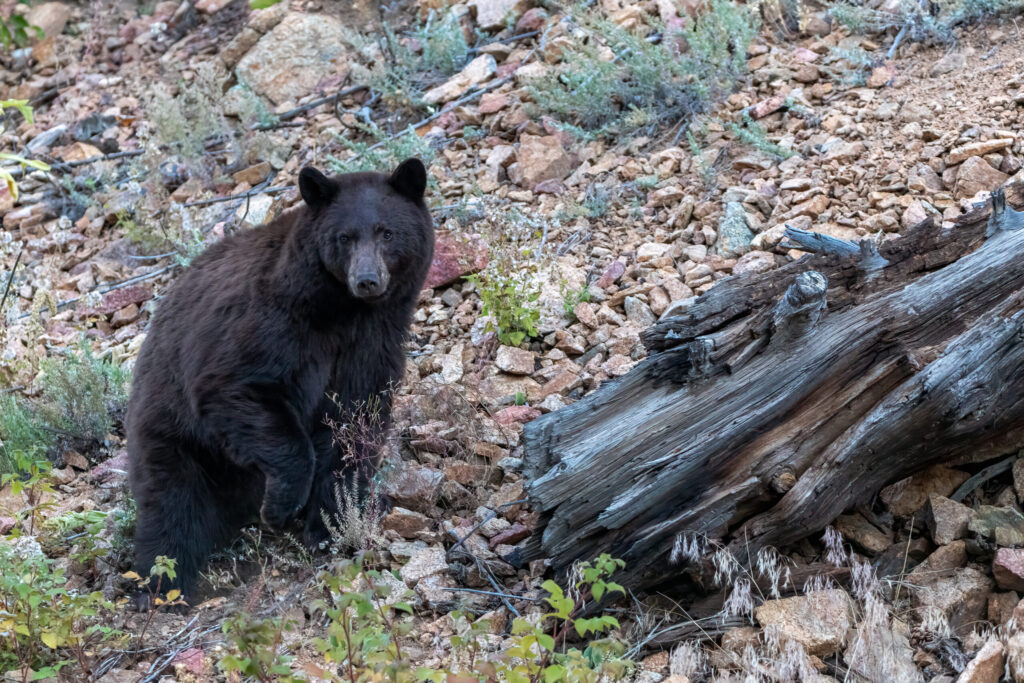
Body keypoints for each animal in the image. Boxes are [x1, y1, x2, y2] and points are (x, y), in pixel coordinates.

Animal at [125, 159, 433, 606]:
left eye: (387, 232)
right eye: (344, 237)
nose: (367, 280)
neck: (341, 311)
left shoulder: (374, 340)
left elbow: (355, 420)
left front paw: (332, 521)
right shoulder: (273, 322)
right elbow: (236, 388)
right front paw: (281, 506)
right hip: (172, 433)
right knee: (171, 508)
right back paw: (163, 586)